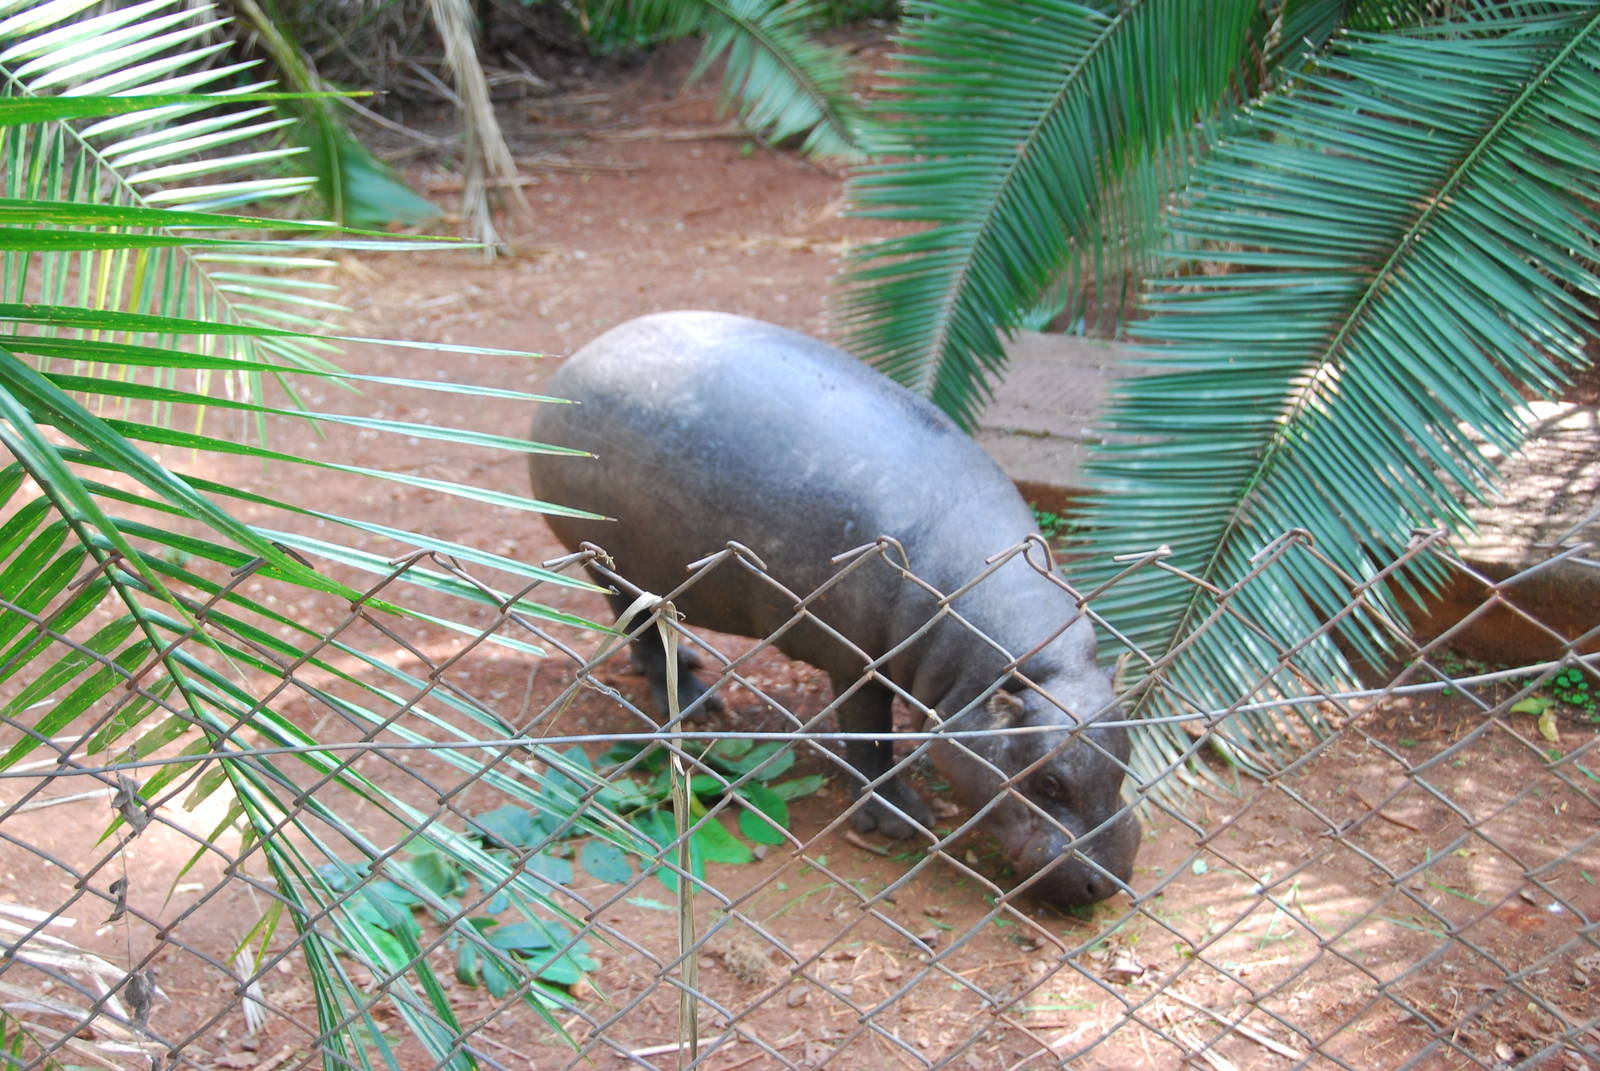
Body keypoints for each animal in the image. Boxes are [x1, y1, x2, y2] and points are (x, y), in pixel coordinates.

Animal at [528, 311, 1139, 907]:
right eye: (1048, 782)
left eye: (1125, 760)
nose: (1107, 883)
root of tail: (575, 362)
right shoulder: (857, 661)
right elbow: (869, 736)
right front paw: (901, 822)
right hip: (615, 567)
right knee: (645, 629)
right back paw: (698, 707)